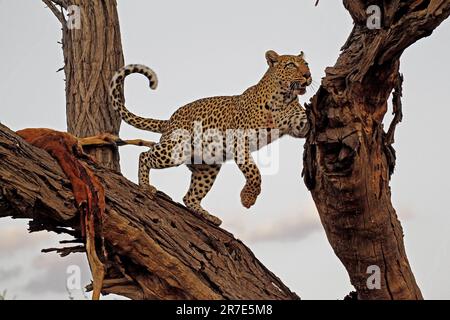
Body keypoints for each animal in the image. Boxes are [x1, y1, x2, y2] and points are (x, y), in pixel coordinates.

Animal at [110, 49, 312, 225]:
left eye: (306, 64)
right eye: (291, 65)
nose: (308, 75)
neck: (283, 97)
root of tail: (169, 121)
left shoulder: (297, 123)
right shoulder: (239, 140)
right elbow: (254, 172)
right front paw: (247, 198)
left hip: (208, 167)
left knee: (189, 196)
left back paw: (208, 217)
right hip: (175, 151)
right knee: (144, 155)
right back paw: (145, 186)